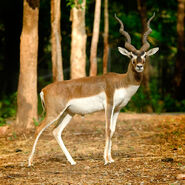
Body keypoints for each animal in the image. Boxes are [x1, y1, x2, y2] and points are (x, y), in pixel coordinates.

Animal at [28, 13, 158, 166]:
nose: (139, 66)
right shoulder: (109, 105)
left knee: (56, 131)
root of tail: (44, 90)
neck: (122, 82)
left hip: (68, 113)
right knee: (38, 129)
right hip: (54, 113)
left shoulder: (117, 109)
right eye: (131, 56)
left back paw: (72, 161)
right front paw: (106, 160)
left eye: (144, 56)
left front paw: (111, 158)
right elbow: (107, 129)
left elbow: (113, 130)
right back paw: (29, 162)